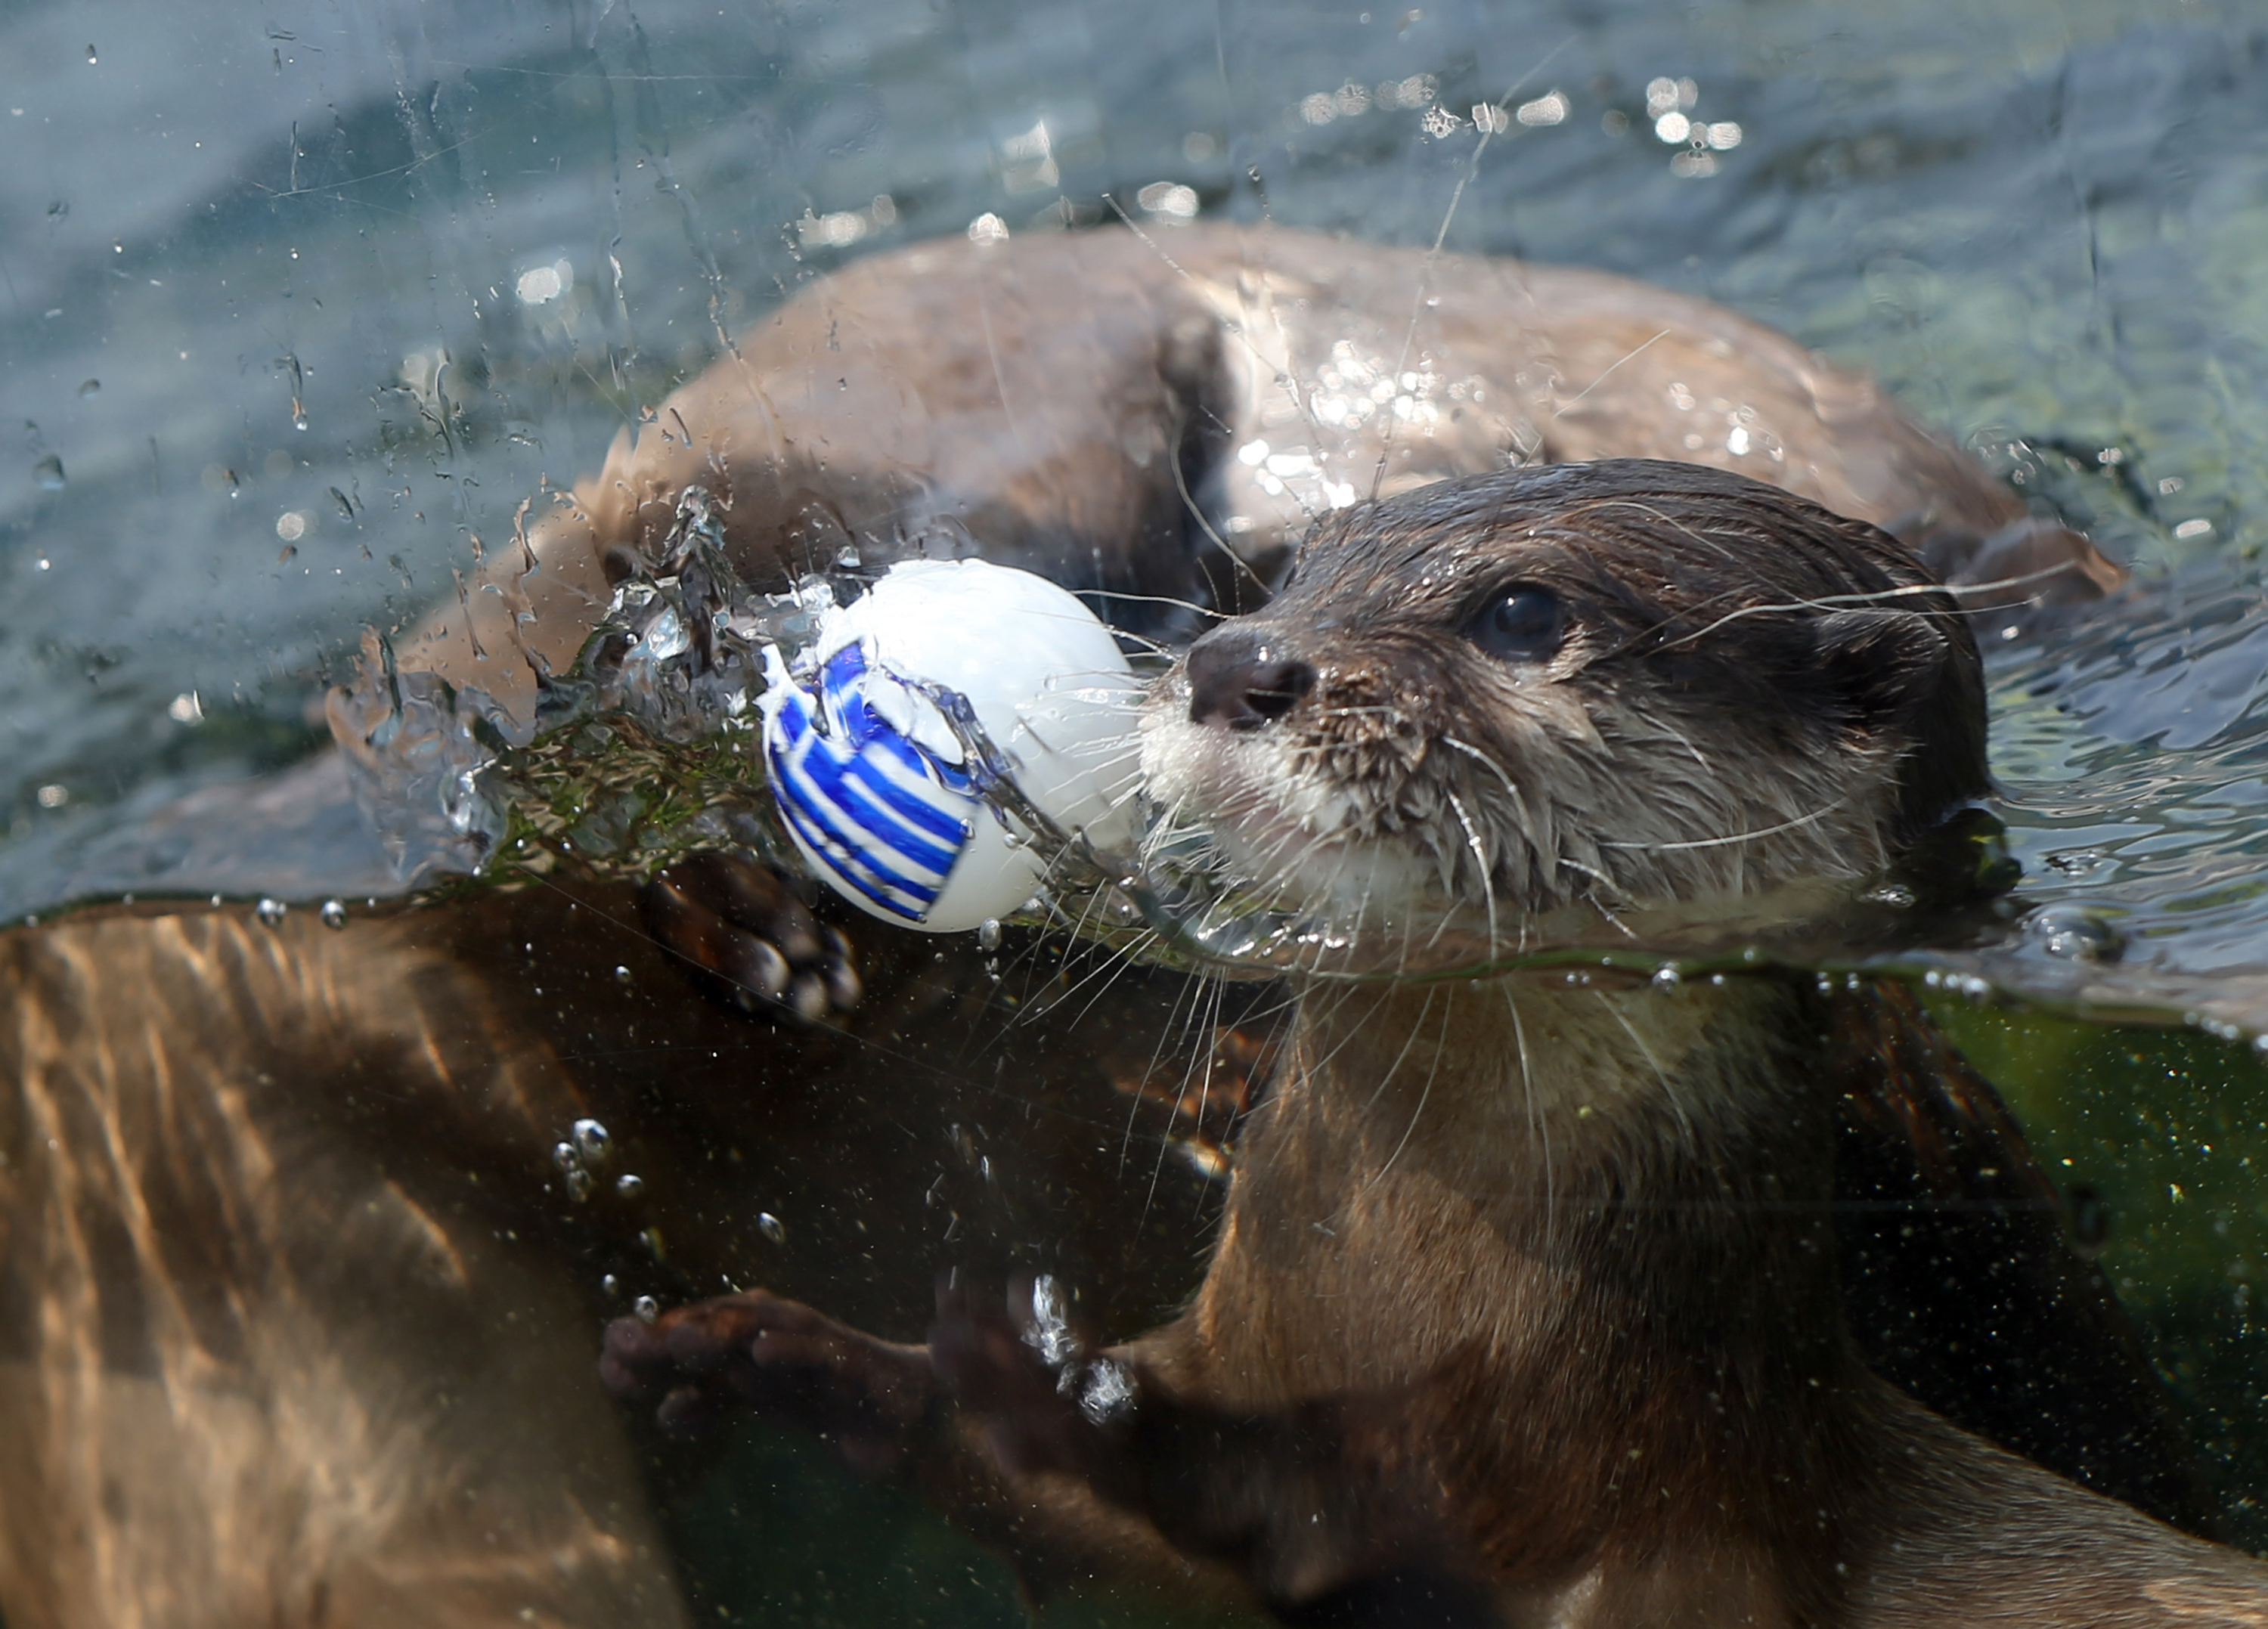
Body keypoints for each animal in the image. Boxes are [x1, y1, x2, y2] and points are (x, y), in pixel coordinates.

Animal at [604, 462, 2267, 1626]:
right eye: (1287, 573)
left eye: (1522, 612)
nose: (1235, 665)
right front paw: (757, 1342)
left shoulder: (1672, 1534)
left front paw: (1055, 1389)